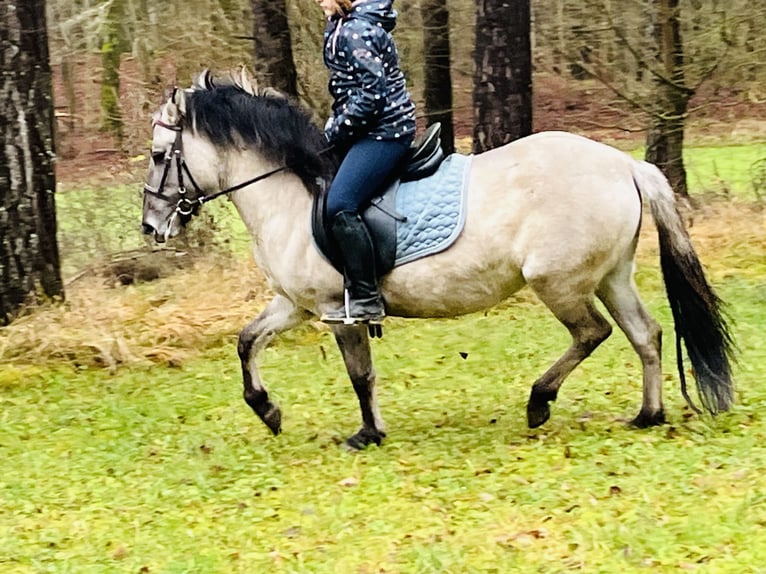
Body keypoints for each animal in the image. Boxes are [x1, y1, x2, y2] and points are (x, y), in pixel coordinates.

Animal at [141, 72, 736, 450]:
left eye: (157, 155)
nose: (151, 227)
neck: (291, 195)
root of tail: (625, 165)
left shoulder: (339, 308)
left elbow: (360, 374)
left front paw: (367, 434)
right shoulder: (296, 305)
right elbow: (247, 341)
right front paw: (267, 411)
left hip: (559, 282)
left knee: (593, 333)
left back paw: (539, 402)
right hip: (611, 276)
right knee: (646, 334)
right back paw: (647, 416)